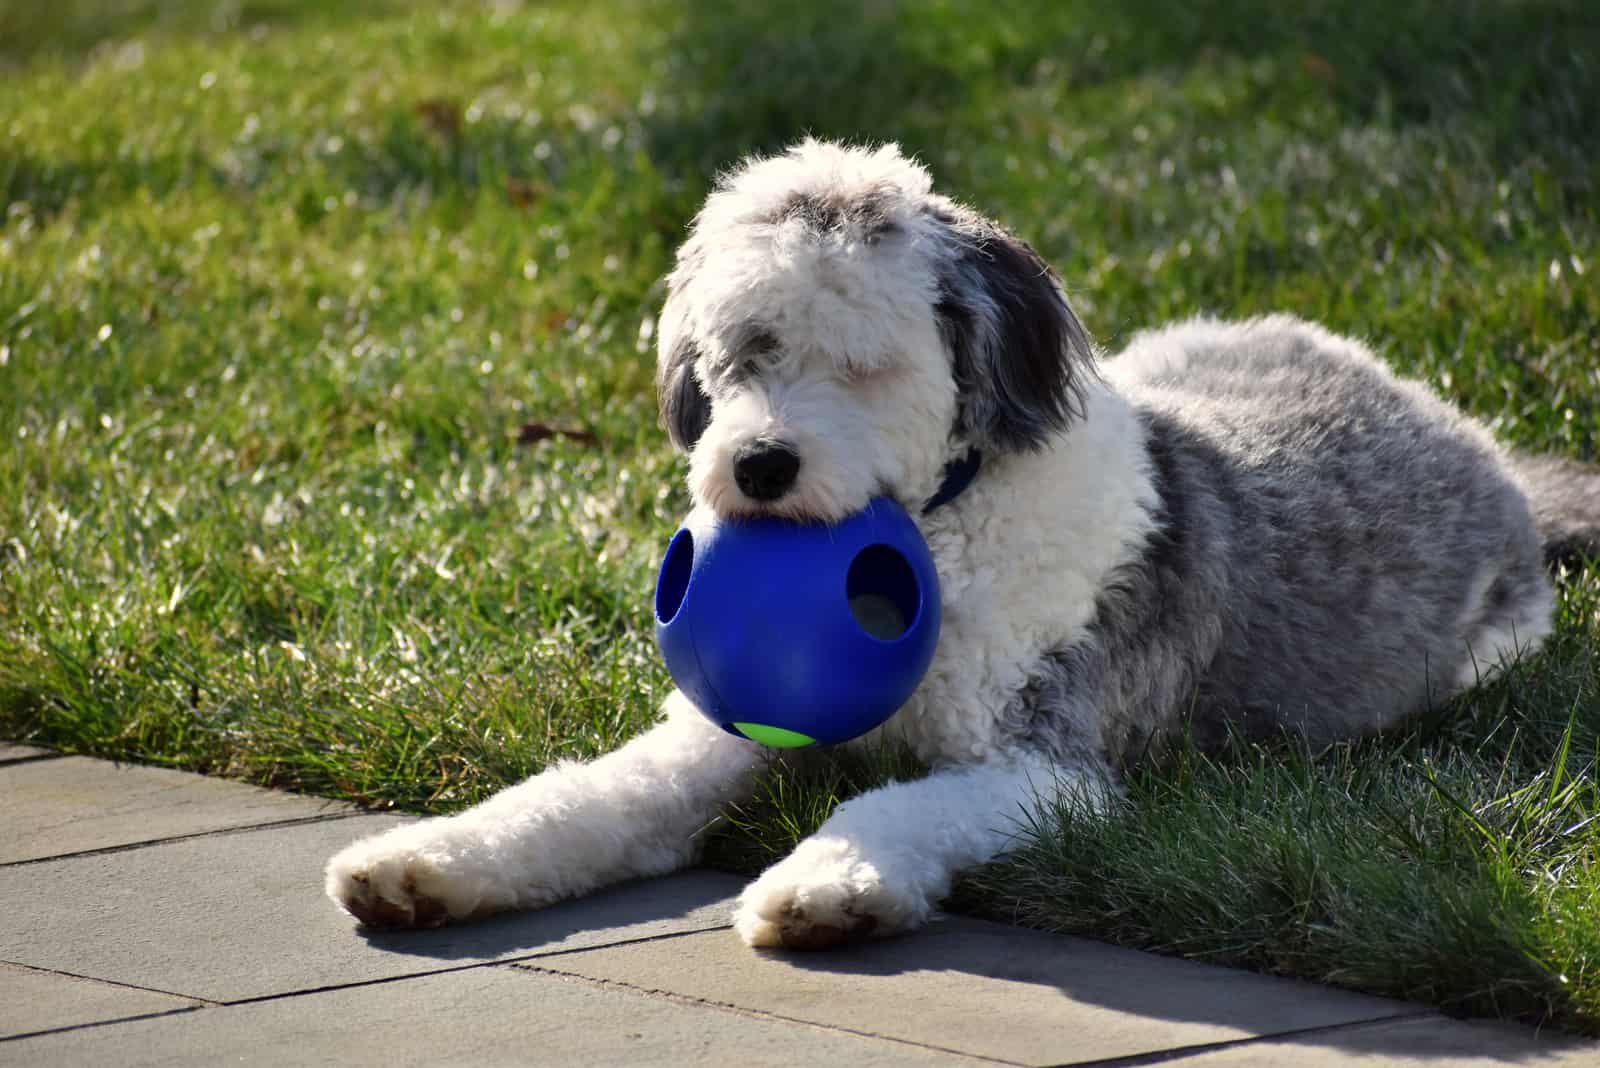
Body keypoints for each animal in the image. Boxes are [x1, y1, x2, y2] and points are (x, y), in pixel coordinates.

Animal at [328, 137, 1600, 946]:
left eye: (863, 361)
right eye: (740, 352)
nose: (757, 467)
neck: (940, 528)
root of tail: (1450, 422)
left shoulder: (1042, 770)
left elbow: (891, 807)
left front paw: (828, 885)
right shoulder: (716, 740)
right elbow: (589, 797)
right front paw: (424, 866)